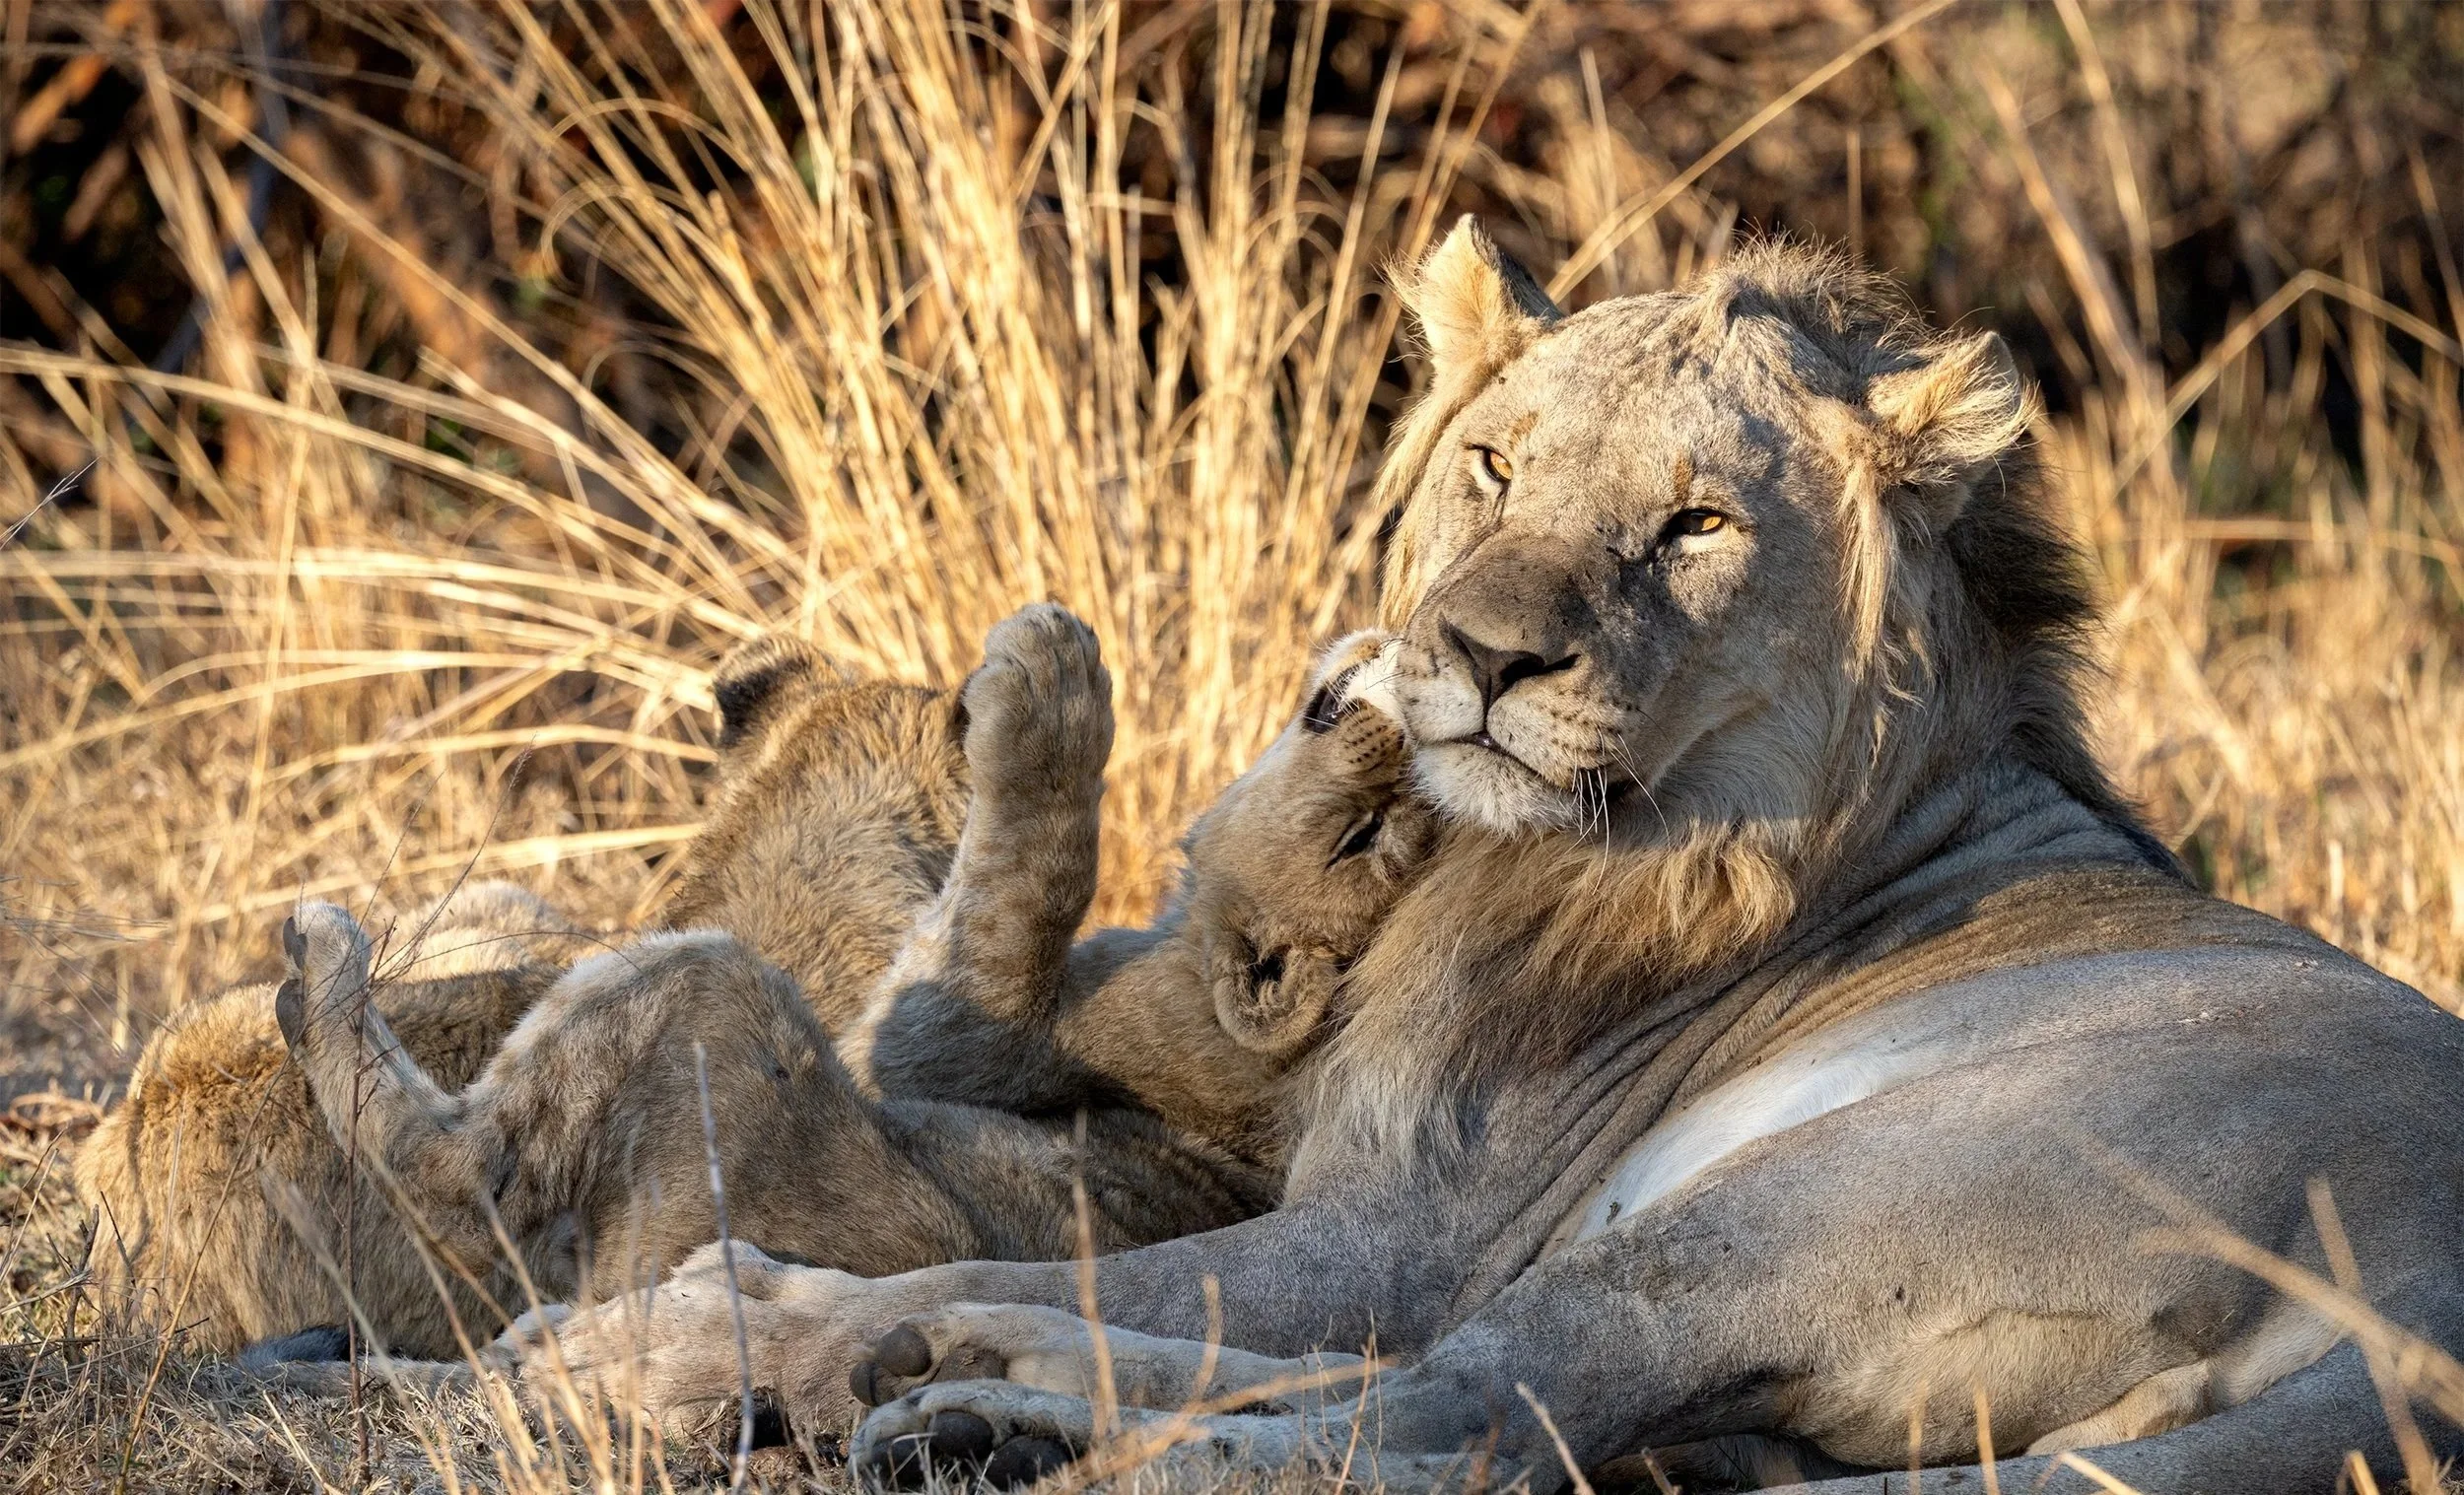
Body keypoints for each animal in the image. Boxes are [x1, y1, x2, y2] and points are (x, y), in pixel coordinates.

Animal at [524, 223, 2464, 1495]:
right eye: (1491, 462)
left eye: (1695, 524)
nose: (1472, 655)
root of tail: (2423, 1327)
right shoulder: (1213, 1089)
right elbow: (966, 1015)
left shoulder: (1401, 1228)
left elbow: (1004, 1236)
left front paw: (660, 1335)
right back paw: (973, 1400)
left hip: (1800, 1199)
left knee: (1446, 1428)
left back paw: (939, 1391)